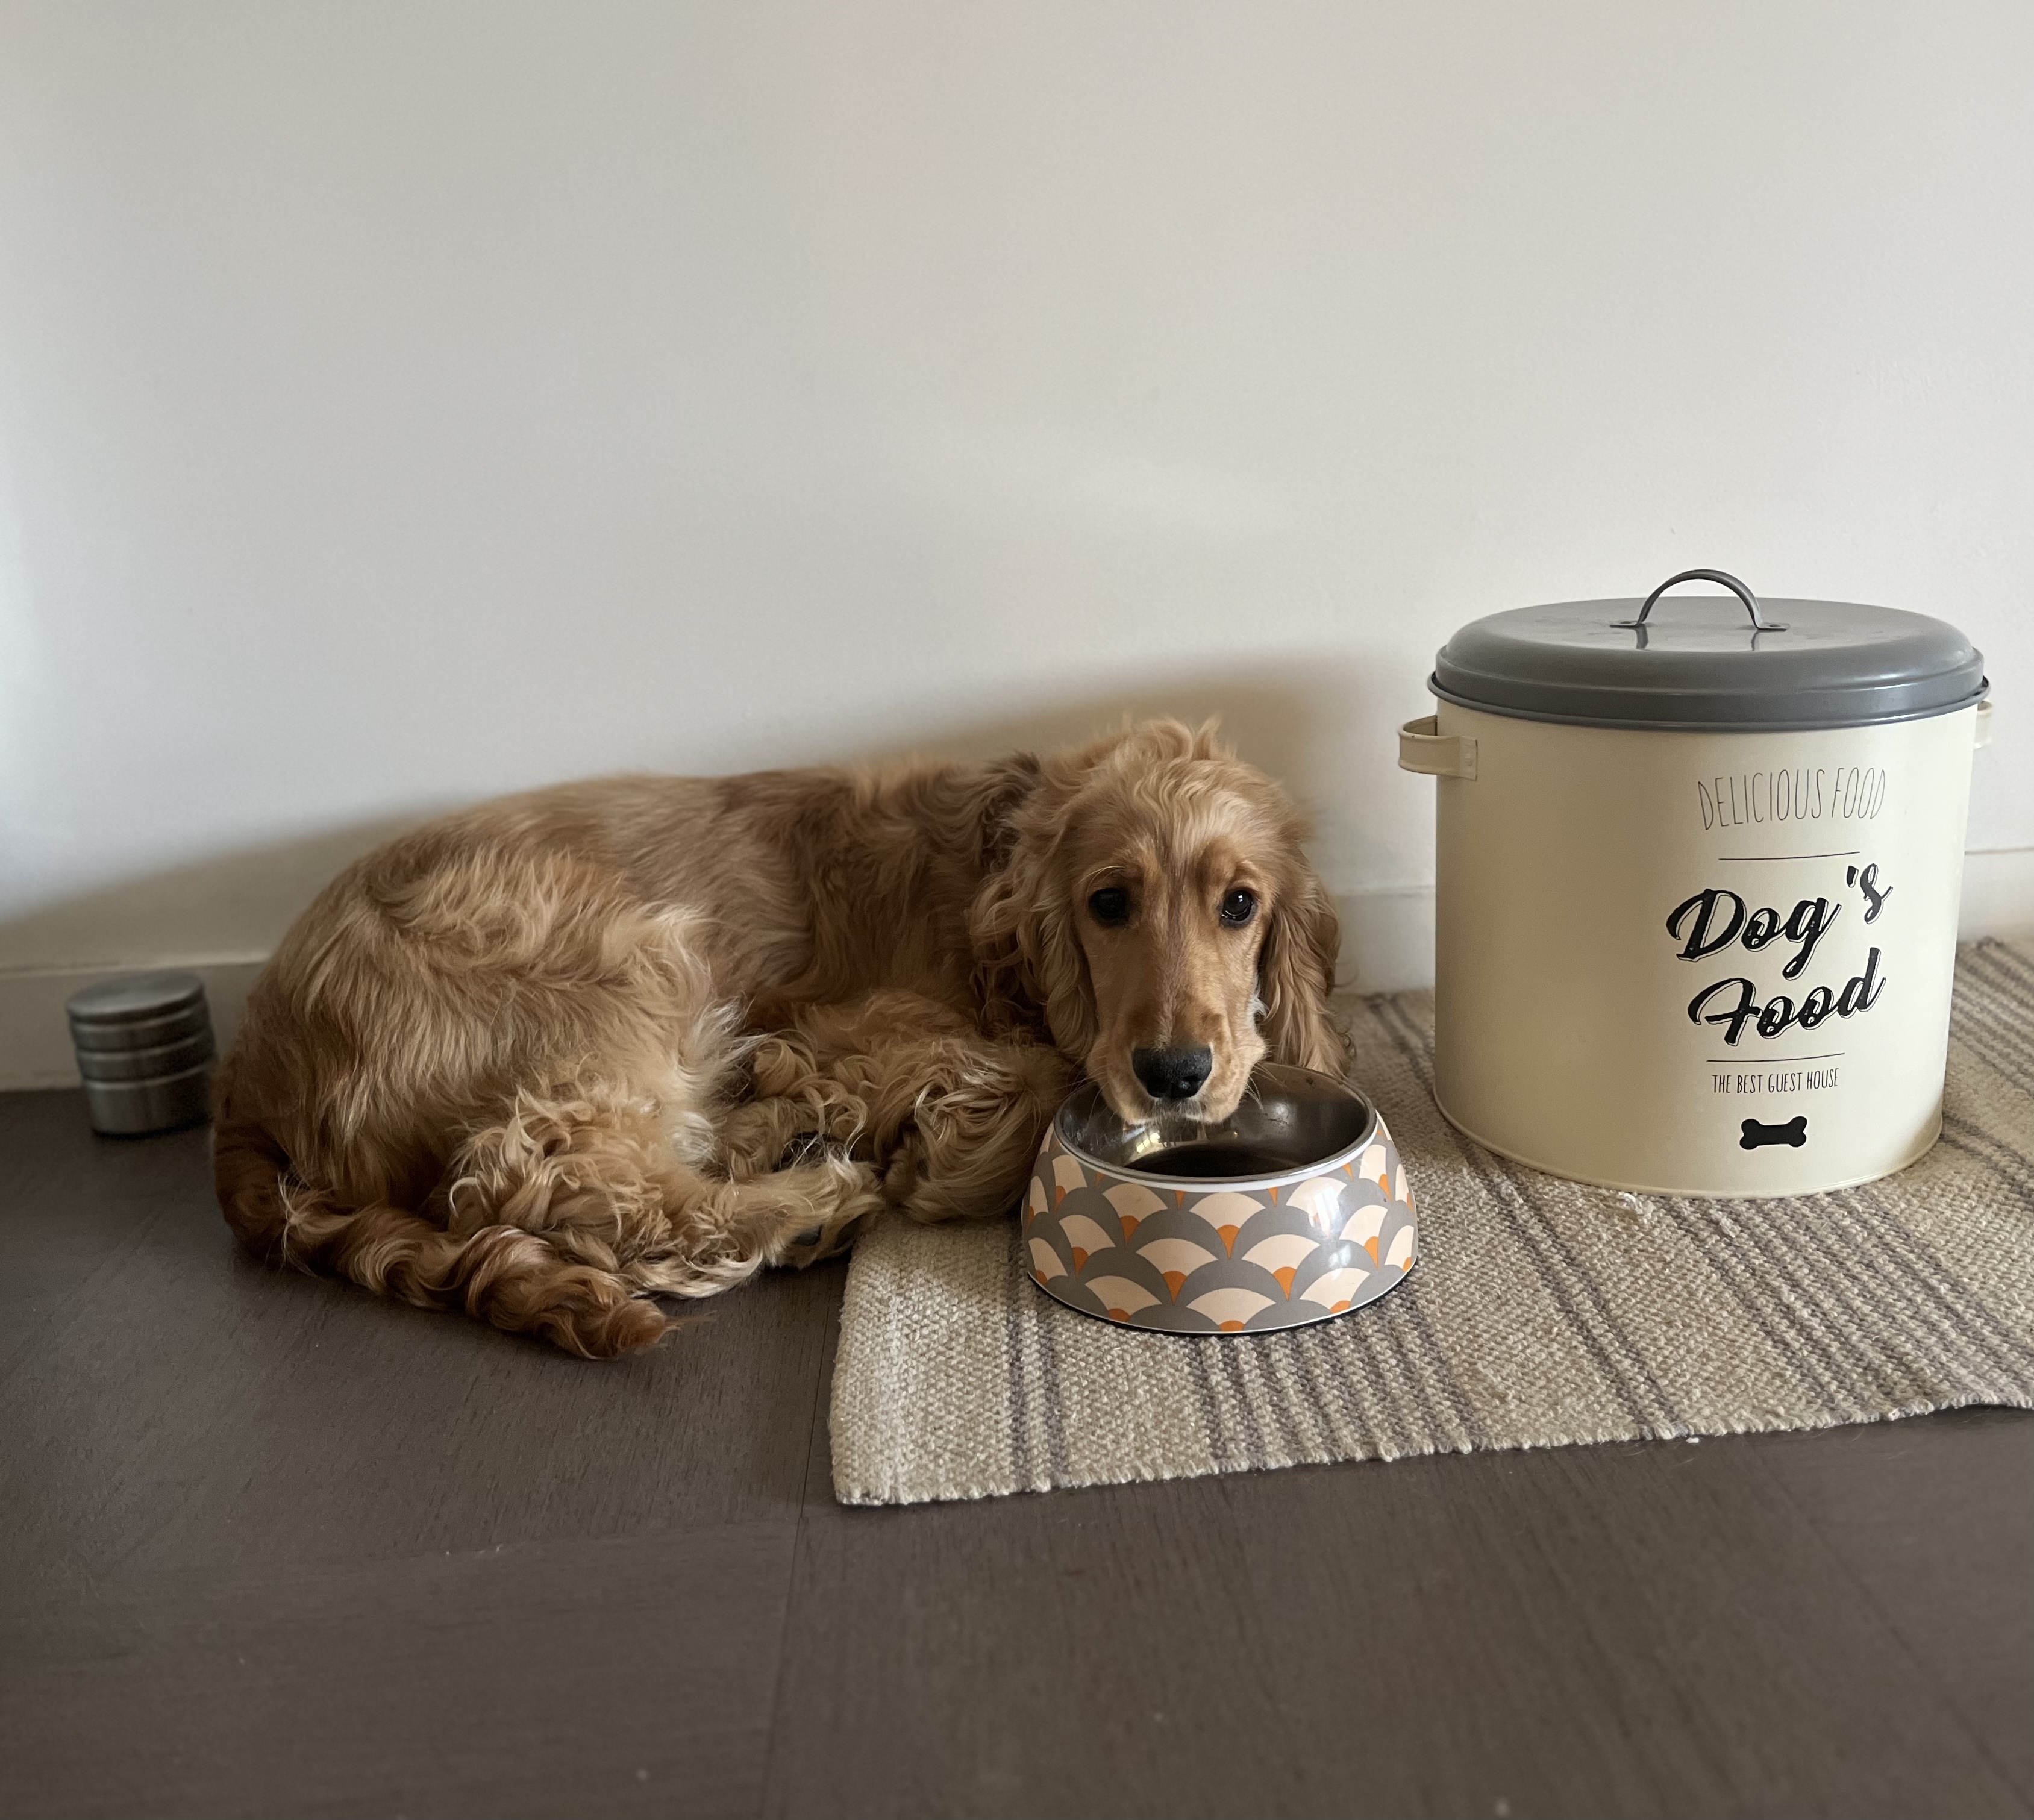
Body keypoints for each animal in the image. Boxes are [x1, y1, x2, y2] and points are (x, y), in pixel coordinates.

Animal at [213, 720, 1350, 1356]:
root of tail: (252, 1071)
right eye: (1108, 902)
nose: (1175, 1074)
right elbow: (1025, 1079)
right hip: (625, 954)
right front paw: (933, 1154)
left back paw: (781, 1136)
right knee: (559, 1179)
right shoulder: (863, 1017)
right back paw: (810, 1200)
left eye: (1240, 903)